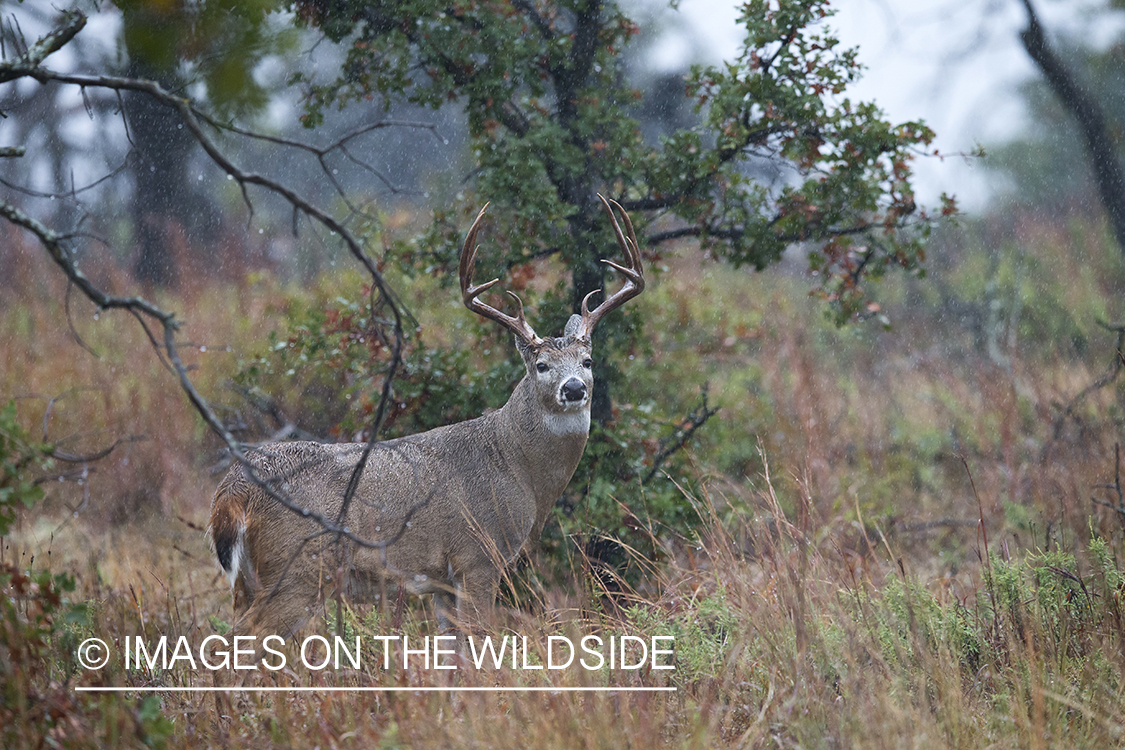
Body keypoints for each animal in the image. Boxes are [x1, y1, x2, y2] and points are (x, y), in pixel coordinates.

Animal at [209, 195, 643, 647]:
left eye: (587, 361)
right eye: (541, 366)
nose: (573, 388)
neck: (518, 466)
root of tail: (232, 490)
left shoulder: (441, 582)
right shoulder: (478, 555)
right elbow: (479, 638)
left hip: (251, 579)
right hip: (299, 565)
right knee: (243, 636)